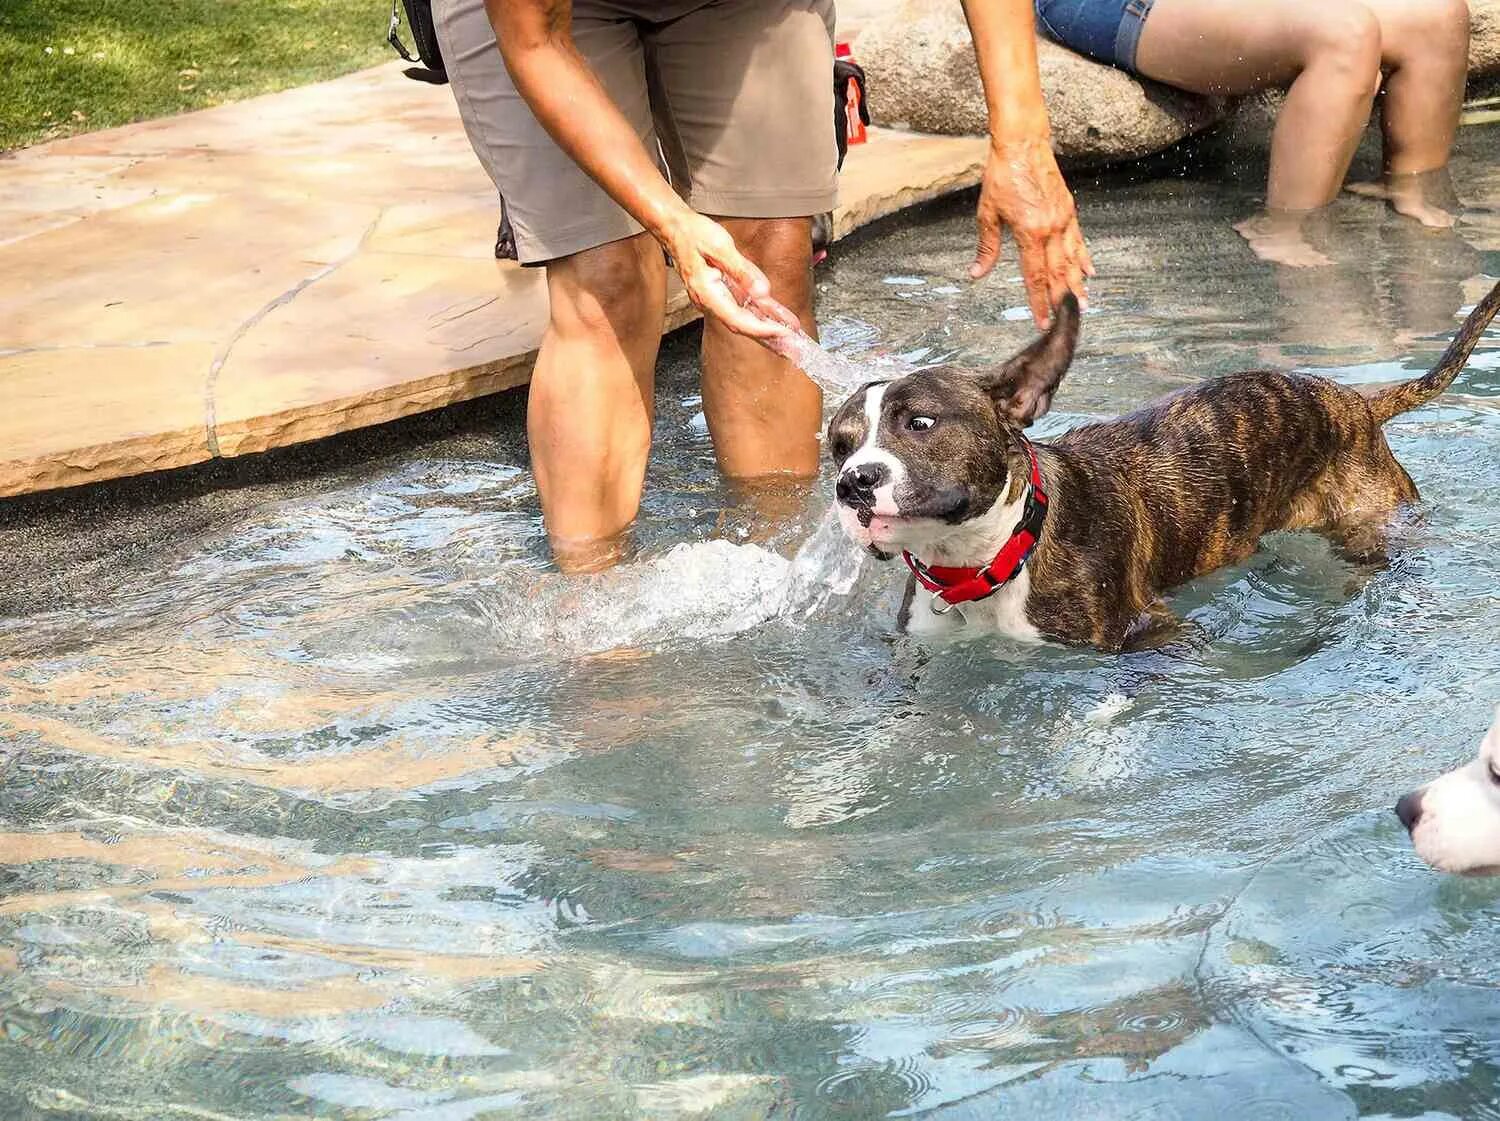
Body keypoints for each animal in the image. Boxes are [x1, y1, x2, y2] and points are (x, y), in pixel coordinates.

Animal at [828, 279, 1500, 648]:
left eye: (919, 423)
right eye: (839, 444)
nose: (853, 482)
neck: (990, 556)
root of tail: (1355, 402)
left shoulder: (1150, 632)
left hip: (1370, 526)